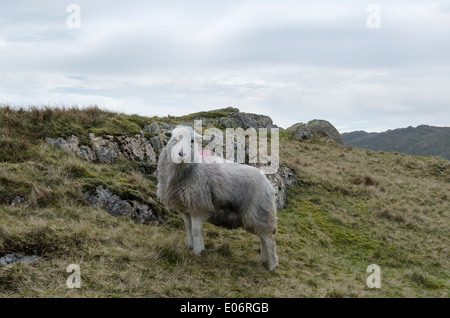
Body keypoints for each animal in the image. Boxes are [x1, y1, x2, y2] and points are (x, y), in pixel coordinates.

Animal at [156, 125, 280, 270]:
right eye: (173, 138)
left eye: (192, 141)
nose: (181, 154)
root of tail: (269, 184)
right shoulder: (186, 209)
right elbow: (188, 229)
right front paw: (191, 246)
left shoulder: (199, 207)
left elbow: (196, 231)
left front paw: (197, 251)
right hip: (255, 217)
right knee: (263, 239)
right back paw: (263, 260)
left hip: (261, 213)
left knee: (269, 241)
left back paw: (272, 266)